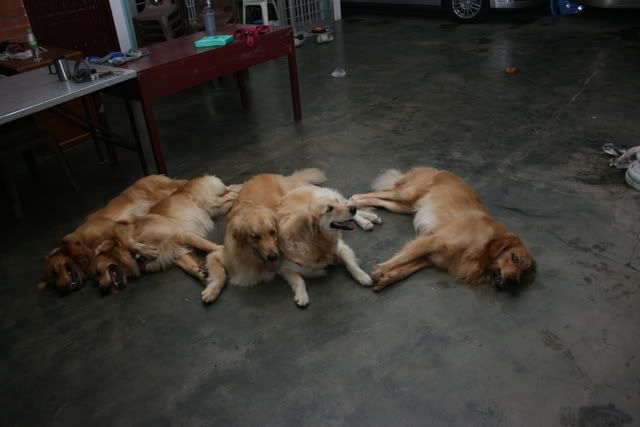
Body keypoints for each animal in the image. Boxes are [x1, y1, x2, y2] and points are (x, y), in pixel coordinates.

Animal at [37, 175, 185, 294]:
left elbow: (128, 243)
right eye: (52, 283)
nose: (62, 290)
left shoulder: (114, 226)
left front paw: (147, 251)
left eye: (54, 271)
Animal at [96, 176, 240, 293]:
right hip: (215, 208)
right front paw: (200, 273)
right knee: (233, 190)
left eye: (97, 272)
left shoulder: (180, 235)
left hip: (212, 202)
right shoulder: (175, 252)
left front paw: (221, 251)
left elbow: (207, 246)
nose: (102, 289)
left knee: (233, 193)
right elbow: (188, 266)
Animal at [201, 169, 327, 303]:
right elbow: (220, 274)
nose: (273, 256)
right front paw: (212, 291)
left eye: (273, 232)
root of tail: (267, 174)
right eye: (255, 237)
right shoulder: (220, 255)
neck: (251, 258)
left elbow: (298, 276)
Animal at [350, 167, 535, 290]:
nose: (513, 282)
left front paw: (386, 278)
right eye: (514, 258)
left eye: (524, 272)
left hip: (404, 207)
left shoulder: (432, 258)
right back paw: (353, 203)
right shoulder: (433, 240)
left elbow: (406, 270)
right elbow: (402, 258)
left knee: (380, 200)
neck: (483, 249)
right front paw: (381, 269)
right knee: (369, 194)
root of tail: (434, 169)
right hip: (405, 194)